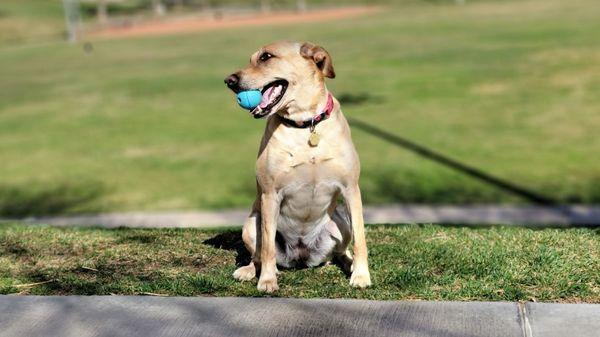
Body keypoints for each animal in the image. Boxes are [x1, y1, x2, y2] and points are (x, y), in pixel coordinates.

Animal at [225, 40, 370, 292]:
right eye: (251, 59)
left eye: (266, 57)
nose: (229, 81)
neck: (305, 124)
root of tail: (302, 256)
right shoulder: (270, 194)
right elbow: (267, 248)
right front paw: (267, 281)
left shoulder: (351, 189)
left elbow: (361, 238)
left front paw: (361, 276)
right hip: (251, 223)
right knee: (258, 255)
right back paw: (251, 270)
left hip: (340, 222)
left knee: (340, 251)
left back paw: (349, 263)